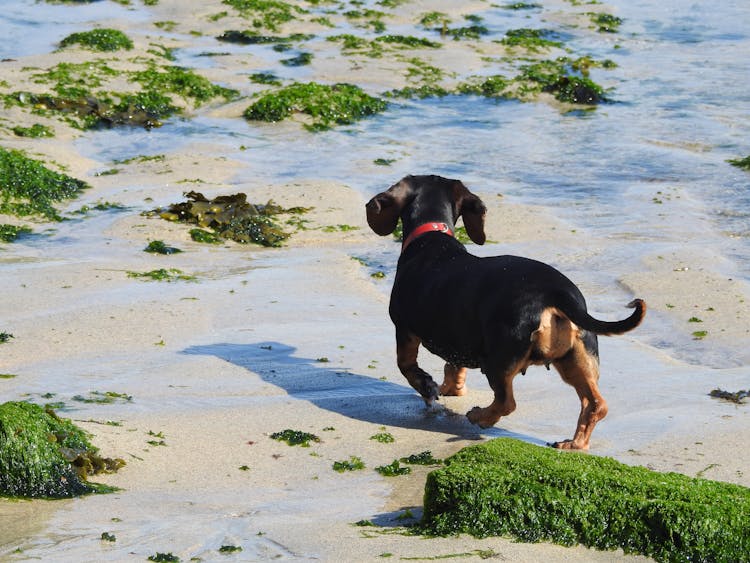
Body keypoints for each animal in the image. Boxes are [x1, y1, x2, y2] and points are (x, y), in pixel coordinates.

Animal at [366, 175, 648, 450]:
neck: (432, 238)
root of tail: (555, 292)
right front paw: (450, 388)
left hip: (499, 359)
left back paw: (480, 416)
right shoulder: (459, 338)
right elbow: (453, 366)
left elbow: (406, 365)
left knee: (506, 402)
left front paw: (427, 386)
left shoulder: (404, 328)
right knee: (596, 404)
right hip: (577, 358)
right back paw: (574, 443)